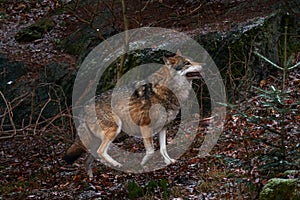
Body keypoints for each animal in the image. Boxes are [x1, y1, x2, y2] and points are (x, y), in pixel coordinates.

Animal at [64, 50, 203, 178]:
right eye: (187, 63)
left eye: (192, 60)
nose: (203, 64)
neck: (166, 90)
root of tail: (84, 108)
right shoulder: (145, 126)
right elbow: (151, 151)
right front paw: (143, 163)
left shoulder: (164, 127)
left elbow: (163, 148)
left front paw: (168, 161)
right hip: (115, 129)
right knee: (100, 152)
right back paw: (117, 164)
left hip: (97, 140)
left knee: (88, 160)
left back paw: (91, 179)